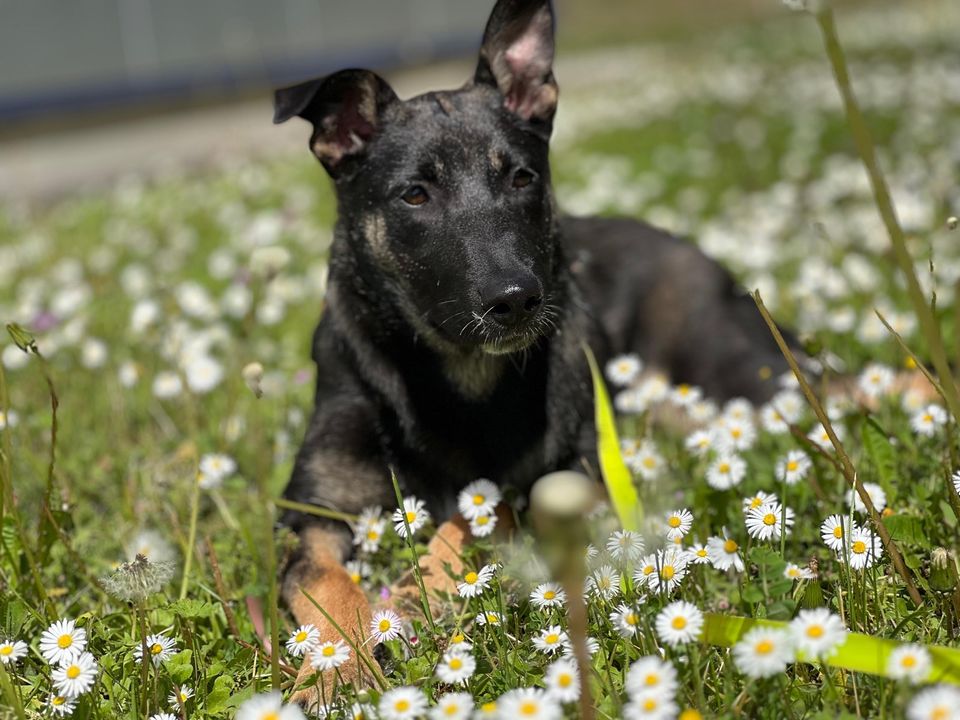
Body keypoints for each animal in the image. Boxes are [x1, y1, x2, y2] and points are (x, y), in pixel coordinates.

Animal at [272, 0, 796, 708]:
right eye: (415, 194)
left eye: (521, 178)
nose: (518, 299)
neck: (448, 377)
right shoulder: (312, 516)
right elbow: (329, 584)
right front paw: (337, 666)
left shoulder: (565, 474)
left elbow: (481, 511)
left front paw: (418, 587)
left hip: (738, 378)